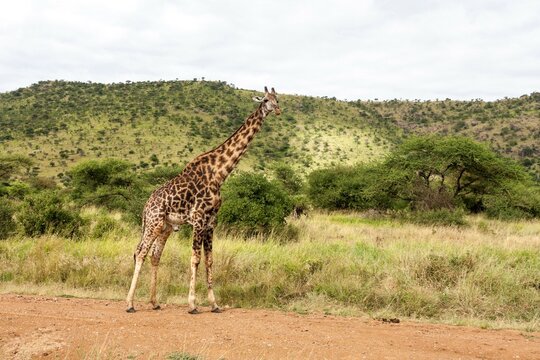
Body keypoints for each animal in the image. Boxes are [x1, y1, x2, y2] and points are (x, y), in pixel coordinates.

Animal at [126, 86, 282, 314]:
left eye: (277, 99)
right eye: (265, 100)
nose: (278, 110)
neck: (219, 174)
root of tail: (146, 206)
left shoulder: (211, 222)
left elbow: (209, 261)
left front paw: (214, 304)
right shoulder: (199, 219)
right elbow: (195, 259)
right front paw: (192, 305)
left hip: (165, 227)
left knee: (155, 255)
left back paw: (154, 303)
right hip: (154, 223)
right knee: (140, 252)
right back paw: (129, 304)